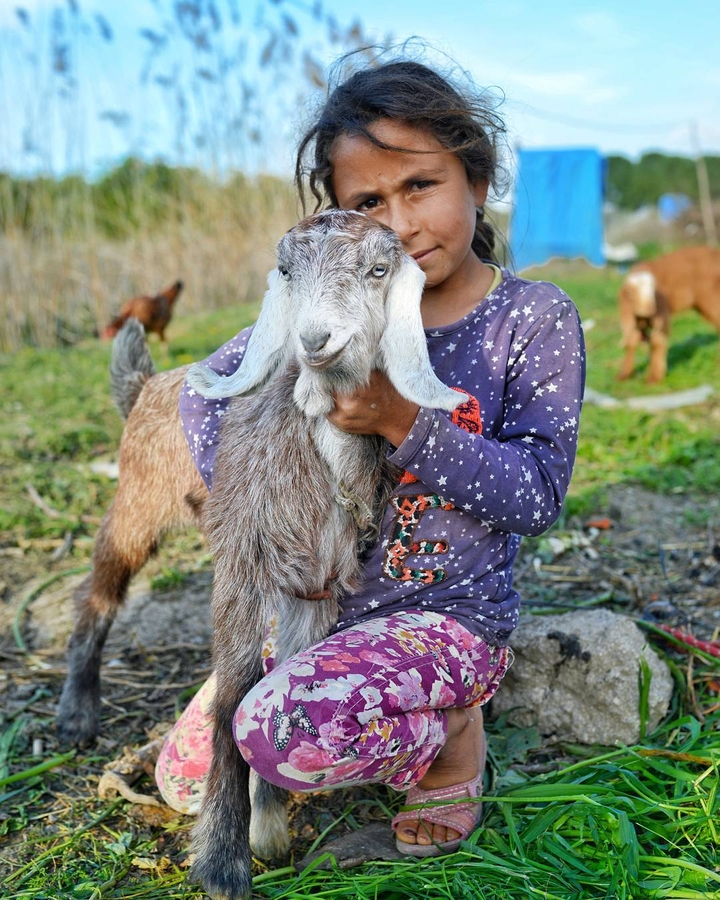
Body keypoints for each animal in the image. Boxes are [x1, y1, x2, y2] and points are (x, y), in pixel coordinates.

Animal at [617, 245, 720, 382]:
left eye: (654, 290)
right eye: (631, 294)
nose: (649, 309)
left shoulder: (662, 313)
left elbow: (657, 343)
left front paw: (654, 378)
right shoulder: (630, 317)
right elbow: (631, 343)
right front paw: (624, 375)